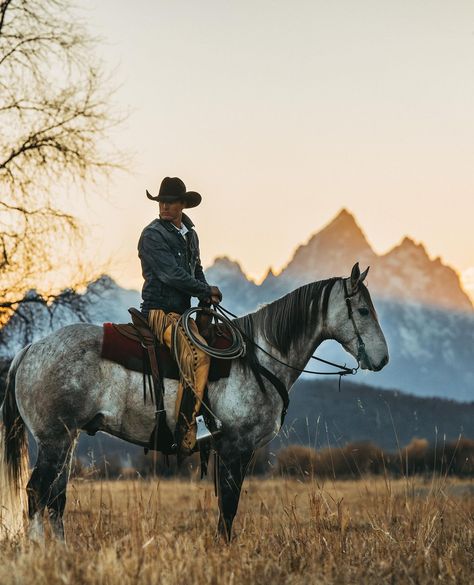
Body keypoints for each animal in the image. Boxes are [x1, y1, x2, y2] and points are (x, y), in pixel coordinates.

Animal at [0, 262, 388, 540]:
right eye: (363, 311)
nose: (382, 360)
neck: (258, 358)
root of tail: (30, 350)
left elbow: (225, 506)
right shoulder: (235, 445)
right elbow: (229, 506)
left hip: (68, 438)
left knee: (55, 498)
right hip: (55, 439)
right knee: (36, 493)